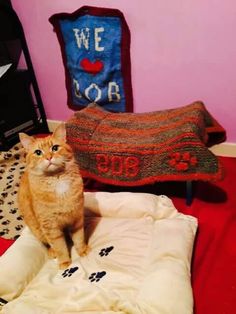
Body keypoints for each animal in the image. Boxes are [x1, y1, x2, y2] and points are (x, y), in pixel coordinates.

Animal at [17, 124, 87, 268]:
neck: (57, 179)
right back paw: (52, 251)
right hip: (37, 229)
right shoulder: (50, 227)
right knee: (47, 244)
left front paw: (82, 250)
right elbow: (59, 246)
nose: (49, 157)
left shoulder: (77, 218)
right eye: (38, 152)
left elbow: (79, 238)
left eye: (55, 148)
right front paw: (65, 262)